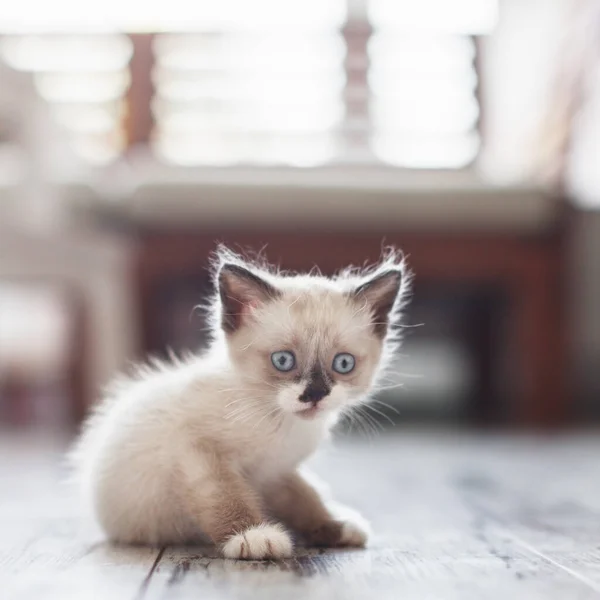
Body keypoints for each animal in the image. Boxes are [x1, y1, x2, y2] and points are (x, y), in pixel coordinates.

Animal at [69, 246, 408, 560]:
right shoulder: (196, 452)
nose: (315, 394)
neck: (279, 422)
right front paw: (252, 536)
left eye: (343, 363)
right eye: (283, 360)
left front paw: (333, 526)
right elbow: (225, 496)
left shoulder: (276, 472)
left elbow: (305, 497)